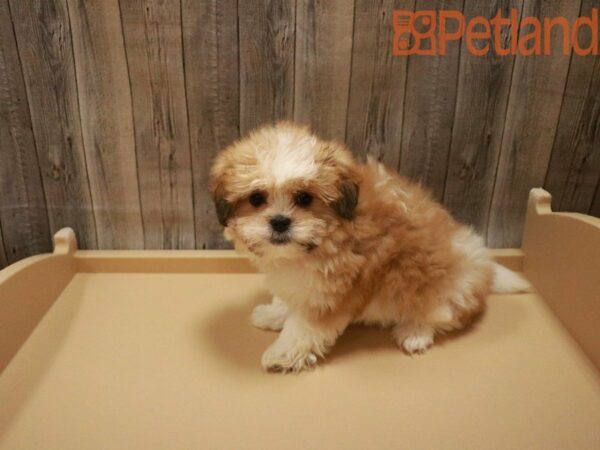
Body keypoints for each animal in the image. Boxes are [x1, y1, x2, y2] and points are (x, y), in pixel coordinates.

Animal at [211, 121, 528, 370]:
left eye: (304, 198)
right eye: (256, 198)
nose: (279, 222)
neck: (330, 234)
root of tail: (485, 270)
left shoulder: (333, 293)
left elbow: (304, 327)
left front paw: (282, 353)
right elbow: (291, 299)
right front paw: (274, 314)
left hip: (449, 288)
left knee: (439, 315)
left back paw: (415, 333)